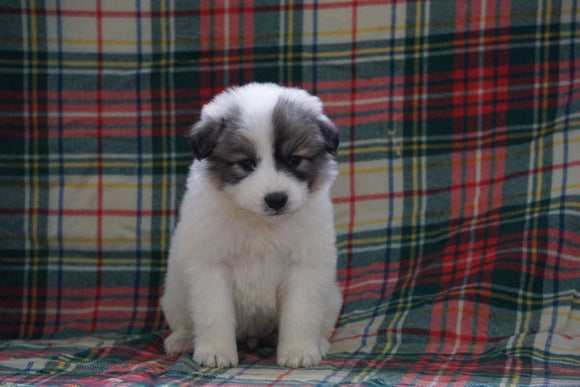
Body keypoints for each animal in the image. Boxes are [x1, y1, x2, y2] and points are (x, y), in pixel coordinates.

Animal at [161, 82, 342, 370]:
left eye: (294, 160)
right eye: (246, 163)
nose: (276, 199)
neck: (260, 224)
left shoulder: (305, 267)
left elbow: (300, 313)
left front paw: (299, 351)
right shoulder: (210, 267)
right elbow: (215, 312)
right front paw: (216, 352)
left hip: (333, 298)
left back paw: (319, 344)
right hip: (174, 295)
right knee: (184, 322)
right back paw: (181, 339)